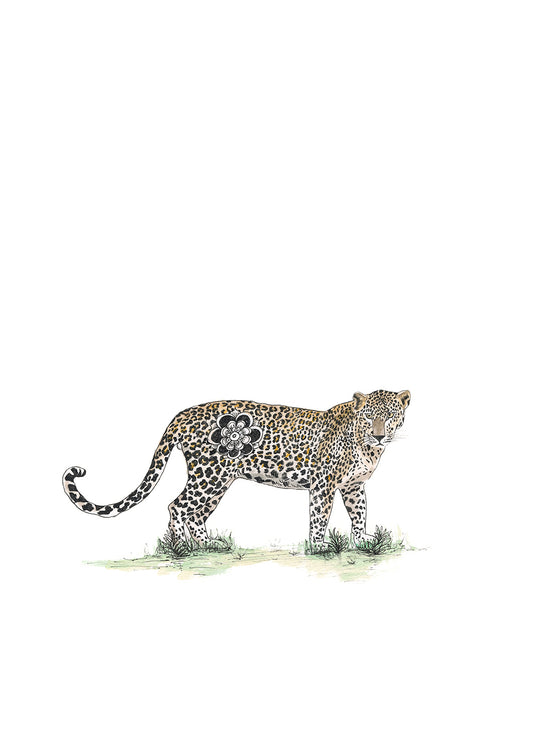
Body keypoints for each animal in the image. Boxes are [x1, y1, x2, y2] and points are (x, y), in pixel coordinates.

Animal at [63, 389, 410, 550]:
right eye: (369, 416)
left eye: (392, 415)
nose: (380, 435)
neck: (367, 447)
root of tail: (182, 415)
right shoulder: (323, 485)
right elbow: (319, 516)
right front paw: (319, 545)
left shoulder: (354, 486)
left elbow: (359, 512)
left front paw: (362, 540)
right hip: (208, 475)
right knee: (177, 506)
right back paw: (180, 548)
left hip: (217, 483)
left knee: (196, 514)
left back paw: (208, 545)